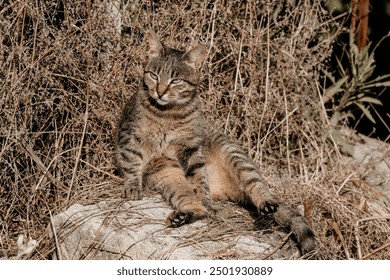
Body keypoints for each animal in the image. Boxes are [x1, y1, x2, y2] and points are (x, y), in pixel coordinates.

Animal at [116, 30, 316, 256]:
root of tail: (223, 189)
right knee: (195, 205)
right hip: (168, 174)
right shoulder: (130, 137)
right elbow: (131, 162)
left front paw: (204, 195)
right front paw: (132, 186)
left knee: (255, 186)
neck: (167, 114)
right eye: (154, 75)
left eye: (176, 80)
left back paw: (263, 203)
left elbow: (199, 179)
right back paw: (183, 215)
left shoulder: (191, 148)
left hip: (234, 155)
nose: (160, 91)